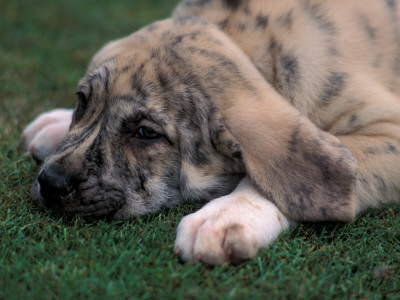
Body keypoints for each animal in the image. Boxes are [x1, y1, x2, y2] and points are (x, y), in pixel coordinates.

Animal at [22, 1, 400, 266]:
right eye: (82, 100)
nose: (51, 183)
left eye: (145, 133)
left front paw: (227, 215)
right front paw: (57, 123)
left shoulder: (389, 135)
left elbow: (281, 178)